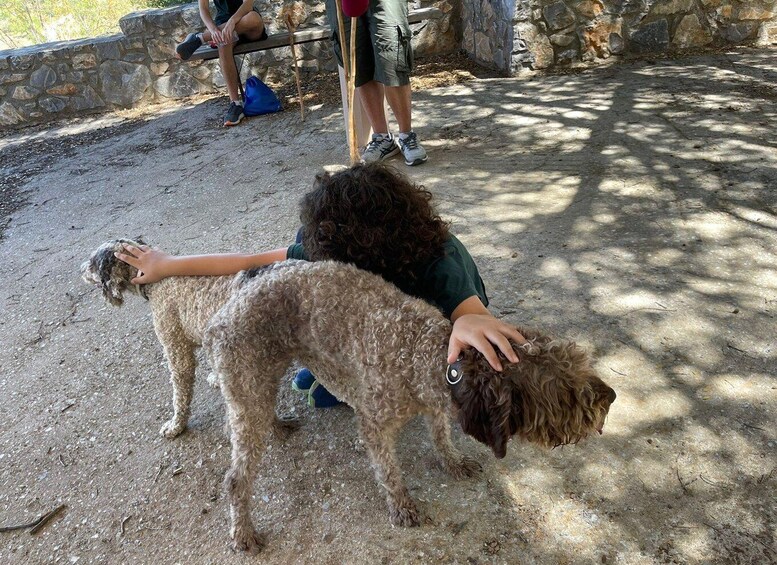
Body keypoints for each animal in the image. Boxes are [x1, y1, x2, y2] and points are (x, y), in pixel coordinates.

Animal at [79, 237, 298, 436]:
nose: (80, 270)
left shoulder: (176, 349)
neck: (156, 282)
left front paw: (177, 425)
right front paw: (216, 378)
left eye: (92, 262)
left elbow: (180, 394)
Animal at [203, 258, 616, 552]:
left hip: (268, 379)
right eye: (564, 390)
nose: (610, 397)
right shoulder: (376, 423)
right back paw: (243, 532)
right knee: (235, 479)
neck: (420, 352)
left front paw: (451, 461)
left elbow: (441, 436)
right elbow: (389, 471)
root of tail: (224, 311)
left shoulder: (436, 406)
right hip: (247, 386)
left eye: (578, 362)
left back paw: (275, 425)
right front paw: (401, 504)